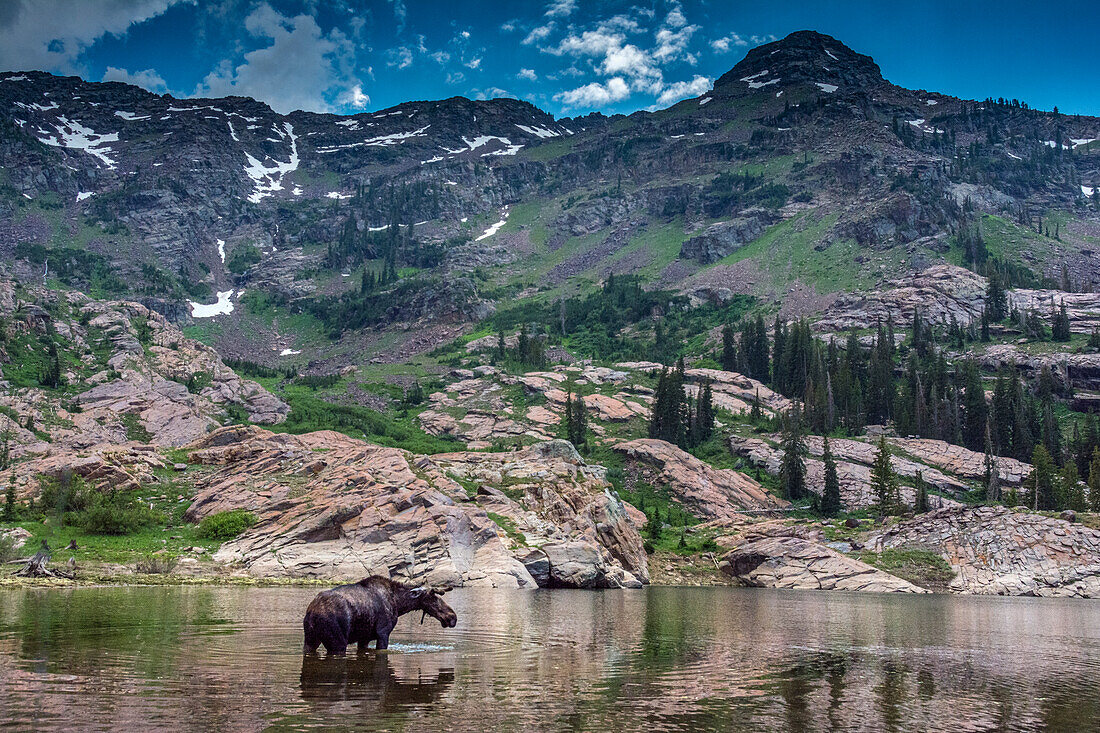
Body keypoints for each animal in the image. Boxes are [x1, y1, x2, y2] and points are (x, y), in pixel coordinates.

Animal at [301, 572, 455, 651]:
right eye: (432, 597)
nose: (452, 617)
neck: (399, 605)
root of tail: (312, 612)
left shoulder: (364, 638)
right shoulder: (383, 633)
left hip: (310, 639)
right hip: (337, 642)